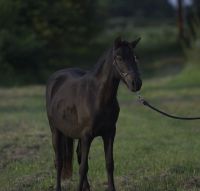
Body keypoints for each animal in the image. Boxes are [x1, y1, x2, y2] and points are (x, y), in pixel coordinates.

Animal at [45, 36, 142, 190]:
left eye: (135, 57)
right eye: (119, 58)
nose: (136, 83)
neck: (97, 96)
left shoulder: (109, 133)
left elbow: (109, 164)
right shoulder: (86, 136)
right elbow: (83, 167)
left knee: (78, 156)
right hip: (56, 131)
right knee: (59, 161)